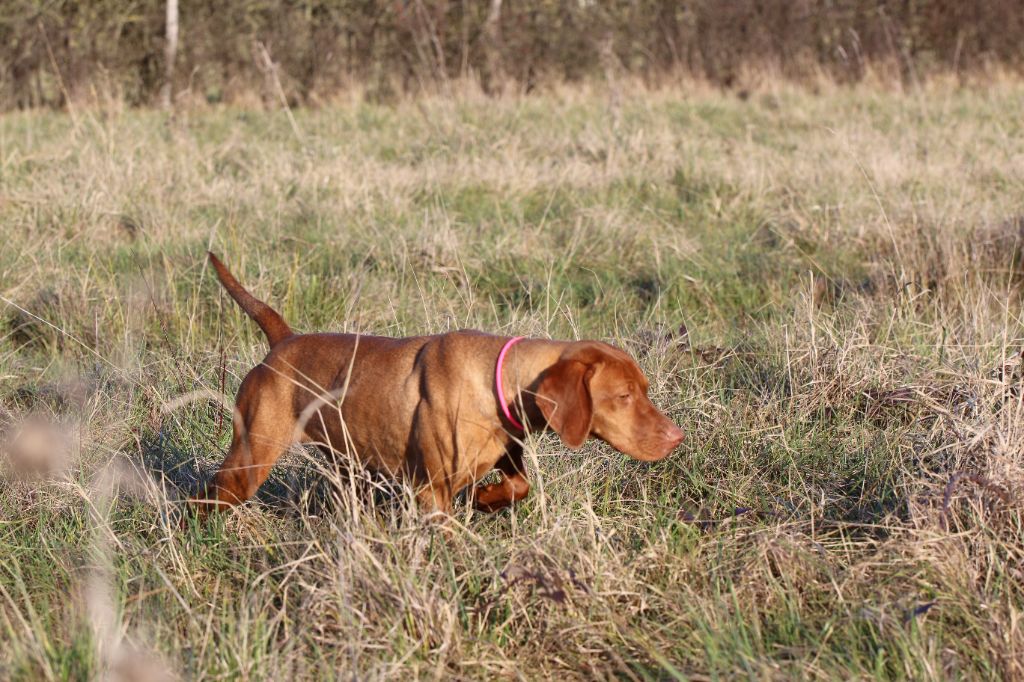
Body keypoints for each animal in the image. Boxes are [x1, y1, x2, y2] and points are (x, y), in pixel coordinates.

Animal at [194, 251, 684, 512]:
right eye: (623, 395)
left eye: (645, 389)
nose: (676, 437)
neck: (495, 379)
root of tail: (284, 341)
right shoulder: (431, 493)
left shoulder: (504, 458)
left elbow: (517, 487)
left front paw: (486, 498)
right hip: (249, 460)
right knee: (209, 496)